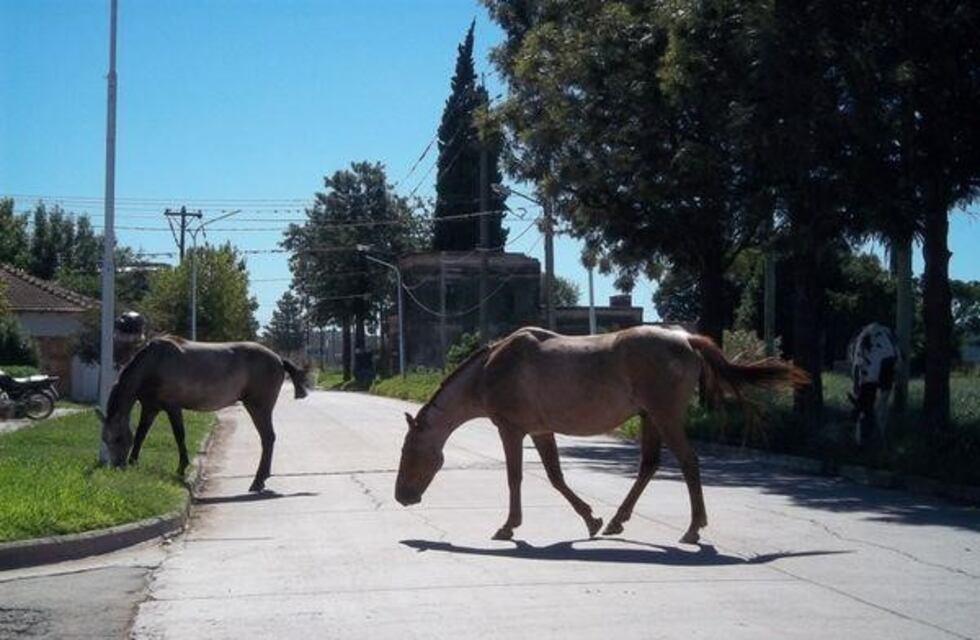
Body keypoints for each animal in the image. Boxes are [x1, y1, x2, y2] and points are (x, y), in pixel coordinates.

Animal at [96, 336, 308, 492]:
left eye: (118, 438)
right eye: (104, 439)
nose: (117, 467)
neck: (154, 363)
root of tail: (279, 359)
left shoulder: (172, 407)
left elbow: (179, 435)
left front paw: (181, 468)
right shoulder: (150, 408)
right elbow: (141, 434)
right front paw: (134, 462)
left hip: (259, 407)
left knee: (268, 438)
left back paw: (257, 481)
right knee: (268, 438)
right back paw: (261, 479)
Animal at [395, 326, 808, 544]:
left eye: (409, 452)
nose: (402, 497)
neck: (490, 369)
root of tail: (686, 338)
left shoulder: (511, 430)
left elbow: (516, 478)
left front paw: (508, 526)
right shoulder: (541, 430)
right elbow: (556, 477)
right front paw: (591, 519)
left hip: (665, 417)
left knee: (688, 463)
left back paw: (693, 529)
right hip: (650, 418)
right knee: (648, 466)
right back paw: (616, 521)